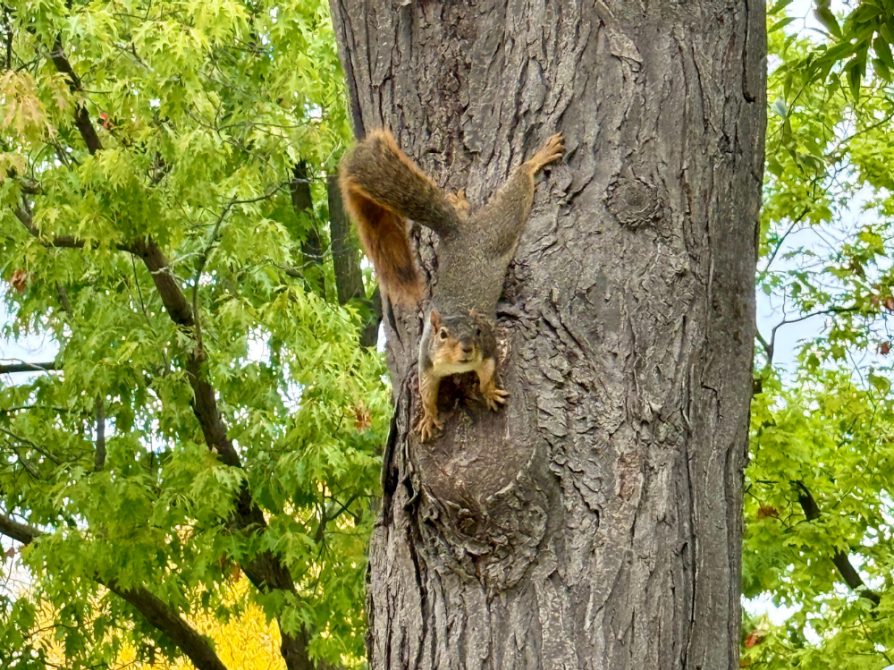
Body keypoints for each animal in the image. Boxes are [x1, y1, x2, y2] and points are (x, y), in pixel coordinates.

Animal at [339, 129, 564, 441]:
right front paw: (428, 418)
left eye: (478, 331)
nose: (468, 347)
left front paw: (489, 392)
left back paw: (535, 159)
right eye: (443, 335)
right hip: (489, 234)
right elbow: (426, 393)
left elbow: (488, 373)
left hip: (495, 234)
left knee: (515, 194)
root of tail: (459, 233)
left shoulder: (489, 349)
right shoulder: (426, 362)